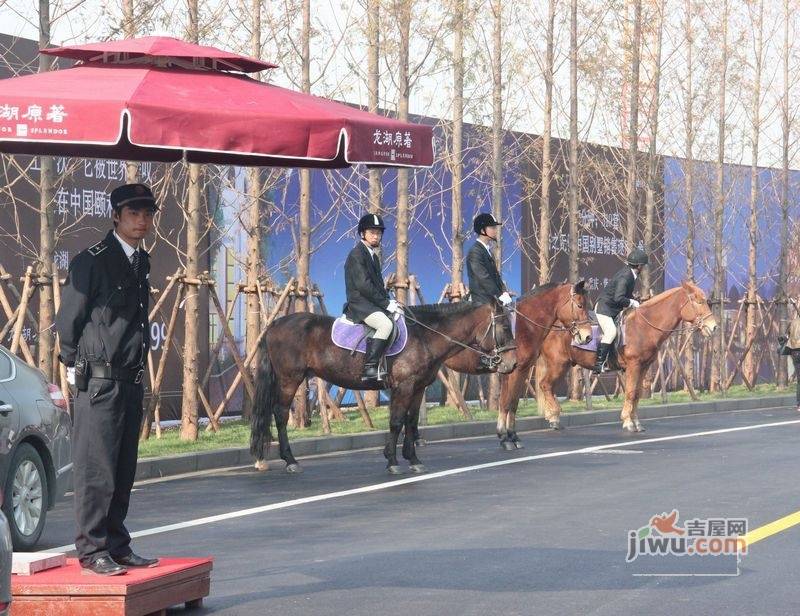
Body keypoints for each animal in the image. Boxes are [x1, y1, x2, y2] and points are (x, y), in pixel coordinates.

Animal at [250, 300, 516, 474]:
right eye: (504, 327)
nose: (512, 363)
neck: (424, 336)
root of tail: (275, 324)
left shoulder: (417, 388)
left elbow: (411, 421)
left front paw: (413, 459)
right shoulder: (404, 387)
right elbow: (397, 422)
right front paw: (392, 461)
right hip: (289, 379)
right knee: (281, 415)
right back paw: (290, 460)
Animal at [444, 282, 592, 450]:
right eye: (580, 305)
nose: (588, 337)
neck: (525, 327)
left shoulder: (521, 370)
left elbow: (511, 403)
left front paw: (510, 436)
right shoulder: (512, 371)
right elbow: (507, 403)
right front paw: (506, 437)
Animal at [536, 280, 716, 430]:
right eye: (699, 302)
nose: (713, 327)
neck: (643, 326)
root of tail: (551, 326)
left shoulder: (643, 367)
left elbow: (636, 394)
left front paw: (636, 421)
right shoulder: (633, 365)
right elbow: (630, 392)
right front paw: (628, 421)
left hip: (563, 364)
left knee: (548, 386)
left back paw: (552, 414)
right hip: (558, 363)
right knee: (545, 385)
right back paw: (554, 418)